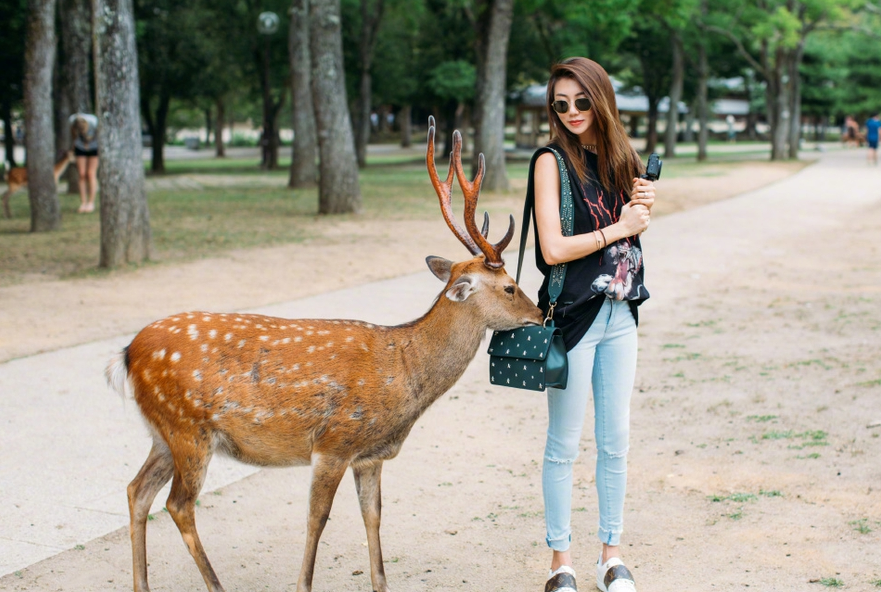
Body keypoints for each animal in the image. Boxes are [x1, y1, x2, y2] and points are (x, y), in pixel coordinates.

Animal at [103, 115, 544, 592]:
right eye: (510, 287)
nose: (541, 313)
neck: (404, 375)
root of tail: (127, 354)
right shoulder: (334, 441)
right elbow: (317, 518)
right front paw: (304, 584)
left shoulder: (371, 455)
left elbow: (373, 516)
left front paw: (381, 584)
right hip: (188, 429)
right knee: (178, 504)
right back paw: (215, 585)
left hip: (162, 431)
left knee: (136, 490)